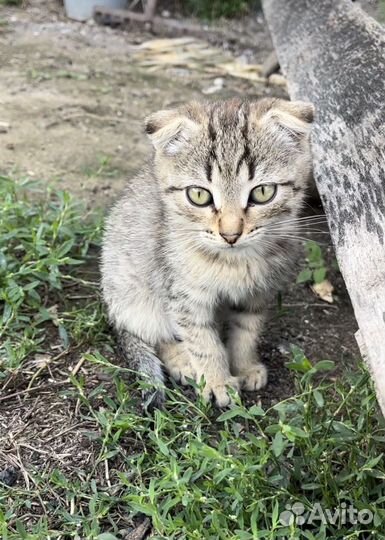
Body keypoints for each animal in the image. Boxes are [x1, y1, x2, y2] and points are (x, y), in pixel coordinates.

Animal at [100, 98, 314, 410]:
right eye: (199, 195)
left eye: (263, 192)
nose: (230, 234)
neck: (234, 263)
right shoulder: (183, 297)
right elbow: (202, 340)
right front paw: (217, 382)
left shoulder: (256, 294)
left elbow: (246, 331)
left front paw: (244, 366)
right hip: (132, 293)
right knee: (152, 333)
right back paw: (182, 362)